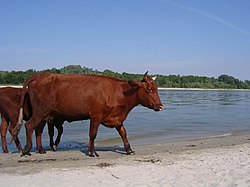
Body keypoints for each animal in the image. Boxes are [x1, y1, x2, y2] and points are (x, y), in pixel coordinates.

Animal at [15, 72, 164, 157]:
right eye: (149, 89)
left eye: (156, 89)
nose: (161, 106)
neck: (118, 93)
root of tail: (40, 76)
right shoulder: (95, 116)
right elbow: (93, 134)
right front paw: (92, 151)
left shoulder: (116, 118)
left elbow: (123, 133)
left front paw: (129, 150)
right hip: (40, 111)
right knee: (29, 126)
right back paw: (27, 150)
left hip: (43, 114)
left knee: (38, 129)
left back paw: (40, 150)